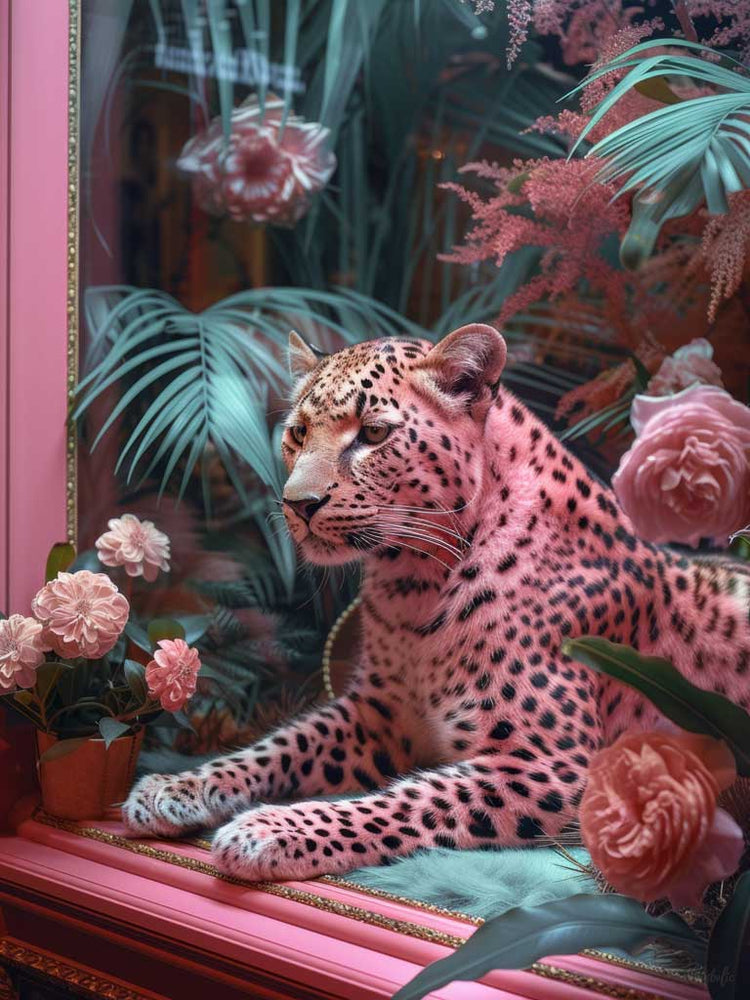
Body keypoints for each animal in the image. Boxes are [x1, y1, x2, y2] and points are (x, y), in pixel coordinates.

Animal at [123, 323, 750, 882]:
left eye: (373, 434)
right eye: (298, 432)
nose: (297, 503)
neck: (413, 584)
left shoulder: (557, 766)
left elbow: (404, 802)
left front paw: (269, 830)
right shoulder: (379, 710)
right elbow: (281, 744)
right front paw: (174, 787)